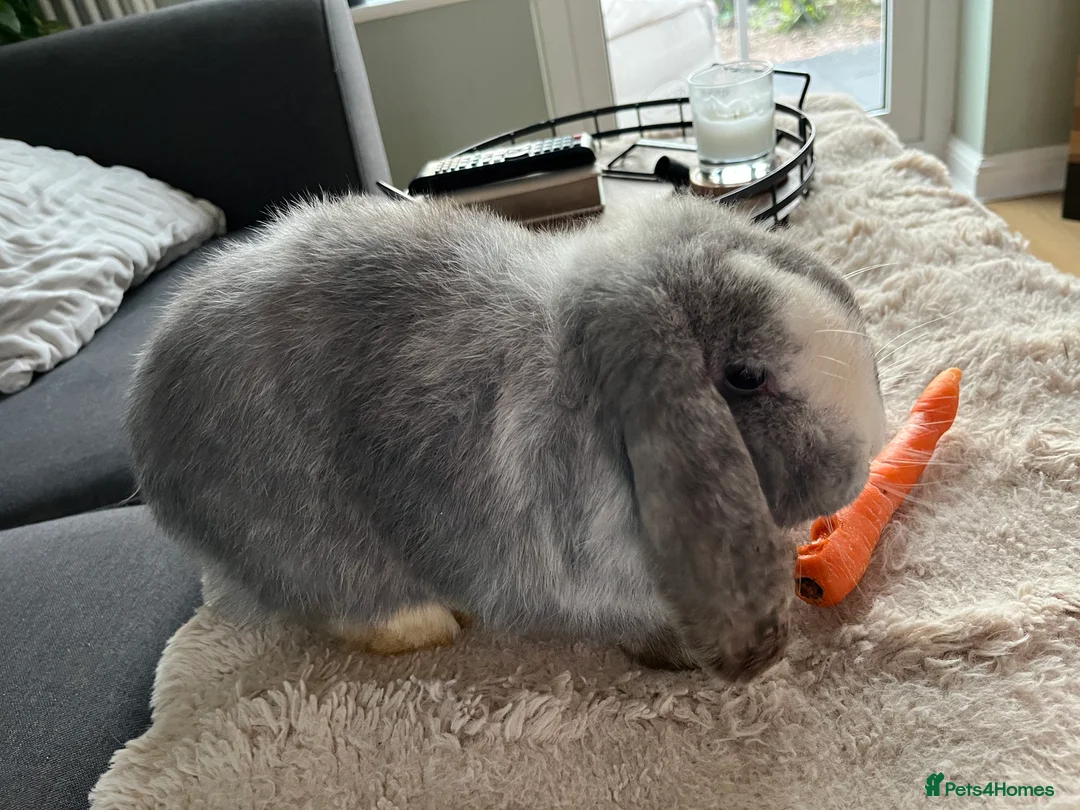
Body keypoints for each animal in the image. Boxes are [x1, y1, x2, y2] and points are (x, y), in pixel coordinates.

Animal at [127, 192, 887, 681]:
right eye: (744, 376)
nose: (870, 455)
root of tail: (148, 412)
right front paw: (681, 657)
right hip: (302, 533)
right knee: (341, 596)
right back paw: (427, 623)